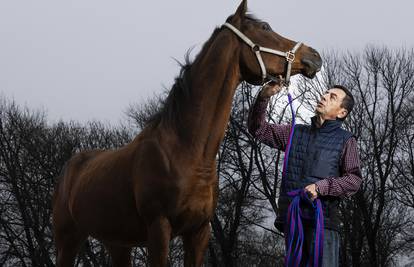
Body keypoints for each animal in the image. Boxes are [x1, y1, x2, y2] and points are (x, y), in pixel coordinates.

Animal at [52, 1, 324, 266]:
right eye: (265, 27)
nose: (314, 55)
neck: (187, 150)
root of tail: (70, 167)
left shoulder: (199, 231)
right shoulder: (158, 229)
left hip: (117, 242)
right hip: (68, 240)